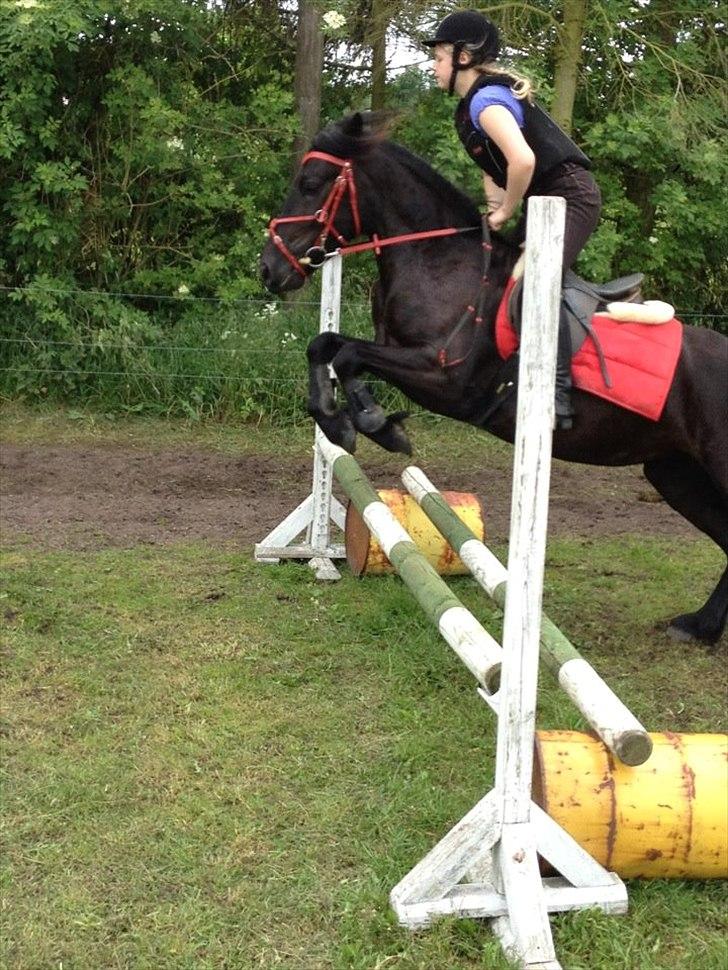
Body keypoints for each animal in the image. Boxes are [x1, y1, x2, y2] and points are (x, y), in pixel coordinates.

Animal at [260, 112, 728, 646]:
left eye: (310, 183)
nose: (268, 269)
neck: (439, 262)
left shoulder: (447, 380)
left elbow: (350, 354)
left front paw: (369, 423)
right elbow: (327, 347)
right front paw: (356, 421)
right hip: (674, 472)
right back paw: (700, 627)